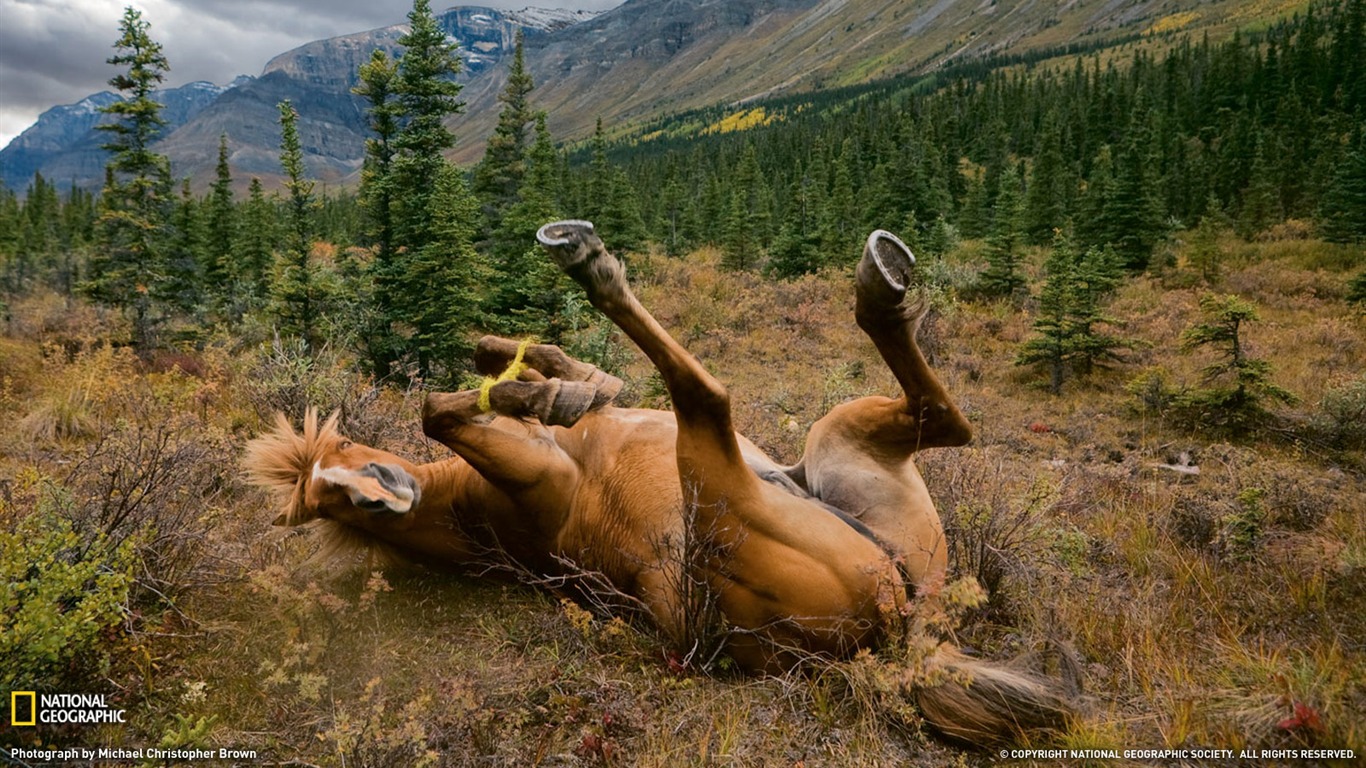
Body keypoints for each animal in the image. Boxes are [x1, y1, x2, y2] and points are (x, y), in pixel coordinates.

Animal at [245, 222, 1076, 743]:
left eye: (342, 452)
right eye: (337, 505)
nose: (379, 492)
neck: (480, 515)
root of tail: (898, 634)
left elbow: (524, 365)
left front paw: (552, 381)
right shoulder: (536, 475)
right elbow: (439, 410)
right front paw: (535, 392)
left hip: (840, 447)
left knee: (944, 419)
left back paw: (882, 278)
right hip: (727, 482)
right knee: (709, 396)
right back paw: (591, 261)